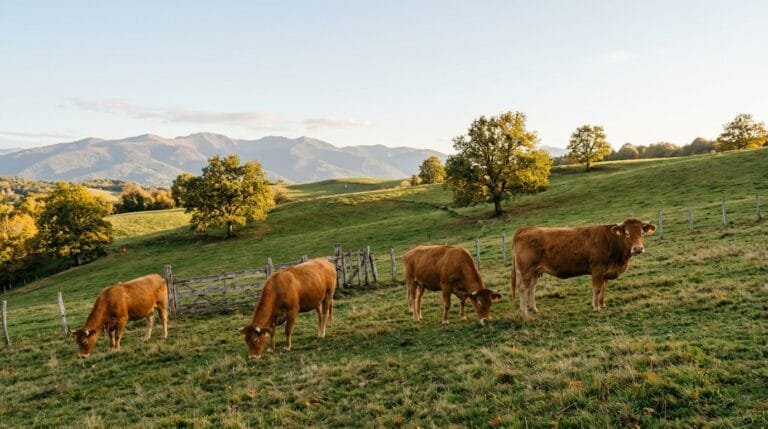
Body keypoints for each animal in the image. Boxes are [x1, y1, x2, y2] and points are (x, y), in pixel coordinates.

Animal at [511, 218, 656, 319]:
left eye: (642, 232)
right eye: (626, 233)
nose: (638, 248)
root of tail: (526, 228)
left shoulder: (606, 272)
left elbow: (603, 288)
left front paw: (602, 304)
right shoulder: (597, 269)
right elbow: (597, 289)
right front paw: (596, 307)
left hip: (535, 271)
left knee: (531, 288)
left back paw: (533, 309)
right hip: (526, 271)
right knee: (523, 288)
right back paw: (524, 314)